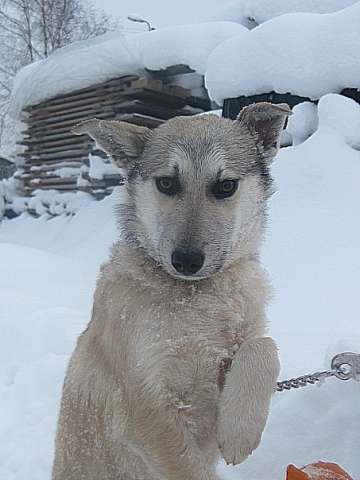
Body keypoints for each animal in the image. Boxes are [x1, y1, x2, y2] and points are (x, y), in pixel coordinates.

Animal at [52, 102, 292, 480]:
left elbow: (264, 346)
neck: (197, 296)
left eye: (226, 186)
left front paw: (239, 430)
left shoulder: (237, 348)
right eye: (166, 182)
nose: (187, 260)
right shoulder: (146, 407)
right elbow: (191, 469)